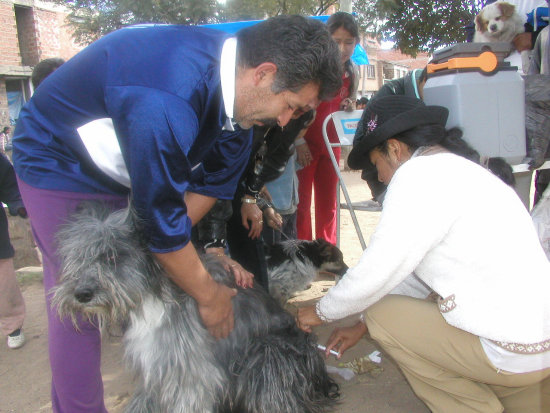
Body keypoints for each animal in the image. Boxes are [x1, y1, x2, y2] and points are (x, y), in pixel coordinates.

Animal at [51, 203, 338, 412]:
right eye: (77, 257)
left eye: (111, 255)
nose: (82, 294)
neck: (154, 294)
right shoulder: (157, 366)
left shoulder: (190, 371)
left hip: (266, 351)